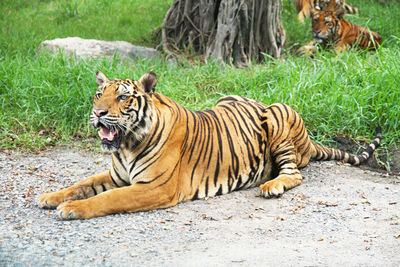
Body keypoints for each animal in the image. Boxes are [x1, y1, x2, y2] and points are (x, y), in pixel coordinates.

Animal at [37, 71, 382, 220]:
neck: (128, 143)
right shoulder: (116, 175)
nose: (97, 113)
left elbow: (108, 198)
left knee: (294, 173)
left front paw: (71, 209)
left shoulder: (155, 187)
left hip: (279, 116)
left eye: (122, 97)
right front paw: (50, 197)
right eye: (99, 94)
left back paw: (271, 185)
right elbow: (82, 184)